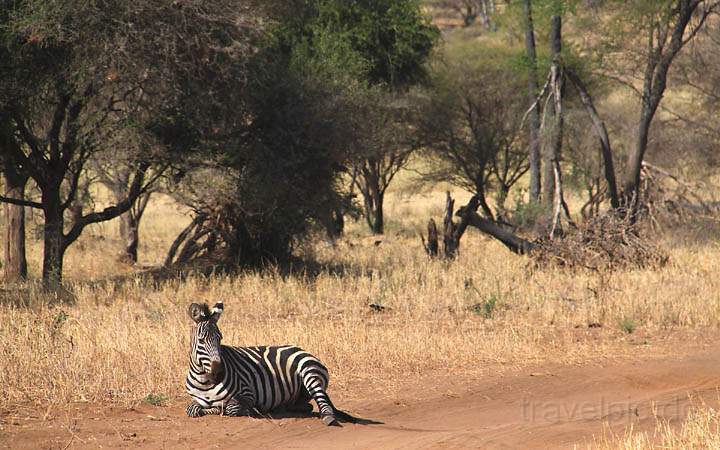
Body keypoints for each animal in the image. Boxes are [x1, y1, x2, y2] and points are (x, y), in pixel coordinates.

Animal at [184, 302, 356, 426]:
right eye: (201, 341)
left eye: (220, 338)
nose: (219, 372)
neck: (204, 380)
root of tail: (301, 349)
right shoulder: (196, 400)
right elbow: (192, 409)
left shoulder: (248, 394)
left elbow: (229, 407)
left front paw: (242, 409)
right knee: (307, 406)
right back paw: (282, 407)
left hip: (310, 372)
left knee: (321, 400)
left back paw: (328, 417)